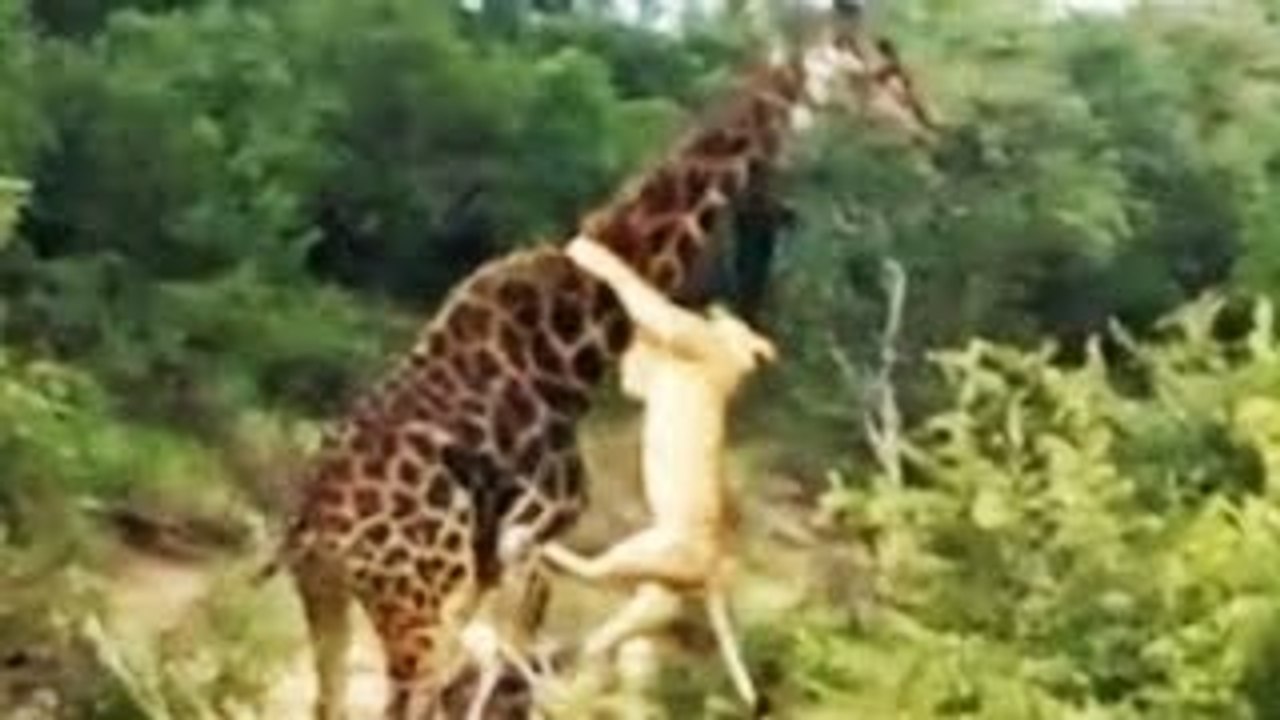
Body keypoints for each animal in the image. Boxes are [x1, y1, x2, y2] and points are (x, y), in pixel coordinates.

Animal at [270, 8, 936, 720]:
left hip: (334, 597)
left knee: (335, 699)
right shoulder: (529, 535)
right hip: (415, 599)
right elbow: (504, 670)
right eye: (881, 69)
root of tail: (308, 526)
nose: (926, 126)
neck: (574, 347)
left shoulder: (505, 555)